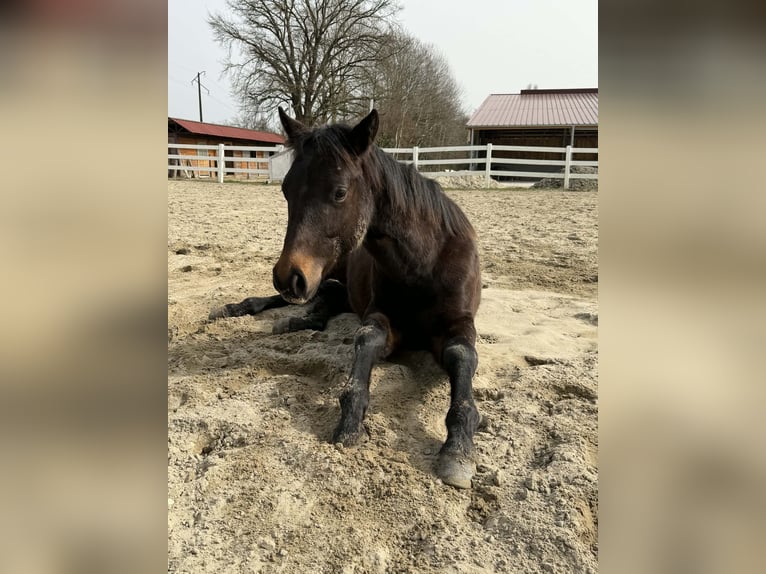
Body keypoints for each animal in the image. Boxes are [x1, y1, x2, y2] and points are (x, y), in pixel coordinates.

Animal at [209, 107, 482, 488]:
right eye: (285, 190)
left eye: (339, 193)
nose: (288, 276)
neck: (424, 263)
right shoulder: (382, 317)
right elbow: (366, 339)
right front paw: (351, 422)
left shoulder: (459, 324)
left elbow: (461, 358)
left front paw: (457, 449)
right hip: (323, 274)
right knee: (305, 299)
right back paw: (242, 308)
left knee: (324, 304)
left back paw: (295, 320)